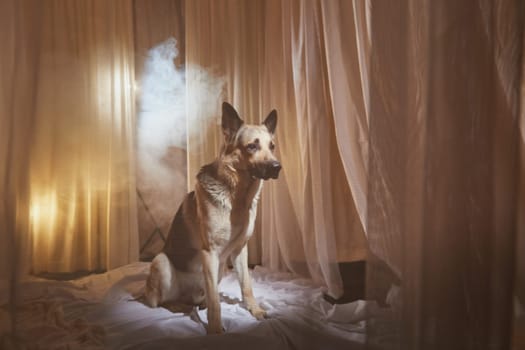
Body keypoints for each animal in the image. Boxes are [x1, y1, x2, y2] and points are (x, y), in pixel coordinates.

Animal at [145, 102, 280, 334]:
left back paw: (197, 305)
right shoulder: (210, 253)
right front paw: (216, 330)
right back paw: (180, 307)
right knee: (161, 302)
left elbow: (246, 286)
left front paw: (255, 310)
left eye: (271, 146)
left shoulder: (239, 251)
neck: (238, 199)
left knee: (201, 298)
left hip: (221, 269)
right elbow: (216, 302)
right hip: (161, 262)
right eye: (252, 147)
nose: (276, 167)